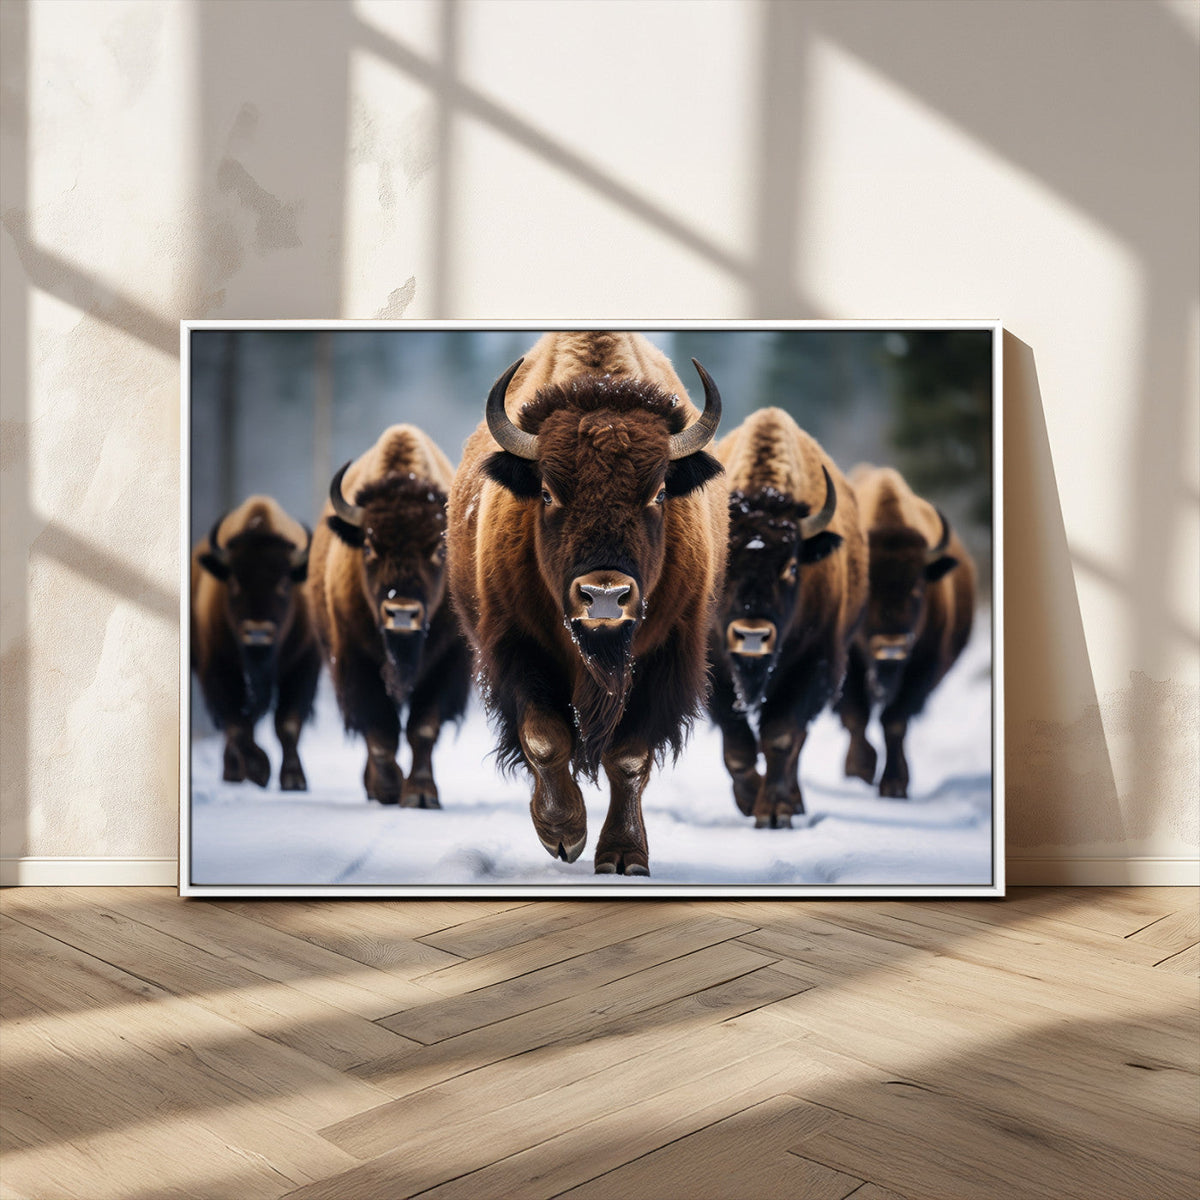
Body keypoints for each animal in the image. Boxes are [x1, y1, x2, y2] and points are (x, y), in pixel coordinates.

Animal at [191, 495, 319, 790]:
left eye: (284, 583)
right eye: (234, 583)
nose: (258, 633)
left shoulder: (303, 665)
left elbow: (287, 723)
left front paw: (293, 779)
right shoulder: (217, 669)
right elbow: (237, 725)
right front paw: (260, 770)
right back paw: (234, 772)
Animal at [308, 424, 470, 807]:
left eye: (439, 548)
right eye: (368, 546)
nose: (402, 613)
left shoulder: (447, 663)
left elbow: (423, 728)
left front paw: (421, 794)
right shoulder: (356, 661)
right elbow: (380, 731)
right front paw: (388, 789)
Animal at [447, 332, 728, 875]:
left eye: (659, 492)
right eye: (547, 492)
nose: (604, 596)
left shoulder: (665, 656)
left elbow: (629, 757)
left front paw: (624, 856)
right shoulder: (517, 647)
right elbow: (544, 737)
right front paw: (563, 834)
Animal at [708, 408, 867, 827]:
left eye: (793, 566)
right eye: (725, 562)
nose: (752, 635)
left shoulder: (812, 664)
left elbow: (780, 737)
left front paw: (775, 812)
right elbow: (738, 747)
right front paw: (750, 800)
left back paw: (793, 801)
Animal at [837, 465, 976, 798]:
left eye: (917, 588)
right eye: (868, 590)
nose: (891, 647)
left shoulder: (920, 669)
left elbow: (895, 722)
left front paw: (894, 784)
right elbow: (856, 715)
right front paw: (860, 770)